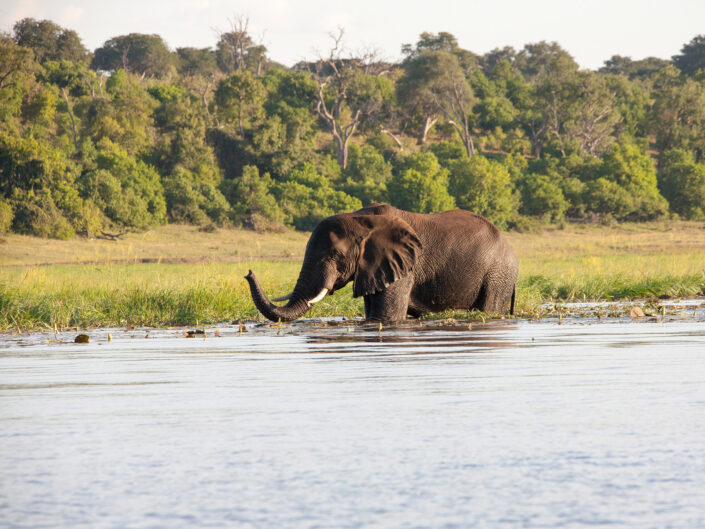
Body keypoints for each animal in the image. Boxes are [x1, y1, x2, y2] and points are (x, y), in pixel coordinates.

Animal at [246, 203, 516, 322]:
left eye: (334, 255)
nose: (248, 273)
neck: (360, 219)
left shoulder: (404, 266)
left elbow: (385, 317)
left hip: (498, 275)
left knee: (490, 308)